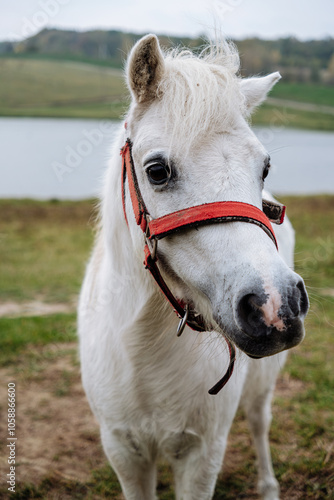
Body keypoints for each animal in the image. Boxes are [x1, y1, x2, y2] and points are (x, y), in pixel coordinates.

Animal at [77, 36, 308, 500]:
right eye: (156, 171)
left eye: (265, 166)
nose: (275, 305)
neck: (143, 348)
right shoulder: (124, 452)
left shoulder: (202, 456)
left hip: (262, 384)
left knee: (259, 421)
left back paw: (268, 485)